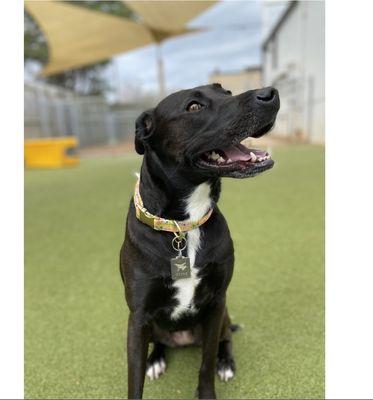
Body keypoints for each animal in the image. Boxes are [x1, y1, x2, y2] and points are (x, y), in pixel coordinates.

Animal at [119, 83, 280, 398]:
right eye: (193, 107)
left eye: (226, 92)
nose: (270, 93)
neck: (183, 227)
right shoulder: (138, 316)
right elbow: (135, 381)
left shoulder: (216, 303)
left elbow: (206, 362)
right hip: (153, 327)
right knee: (159, 343)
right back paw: (155, 359)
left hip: (224, 315)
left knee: (224, 340)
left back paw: (225, 362)